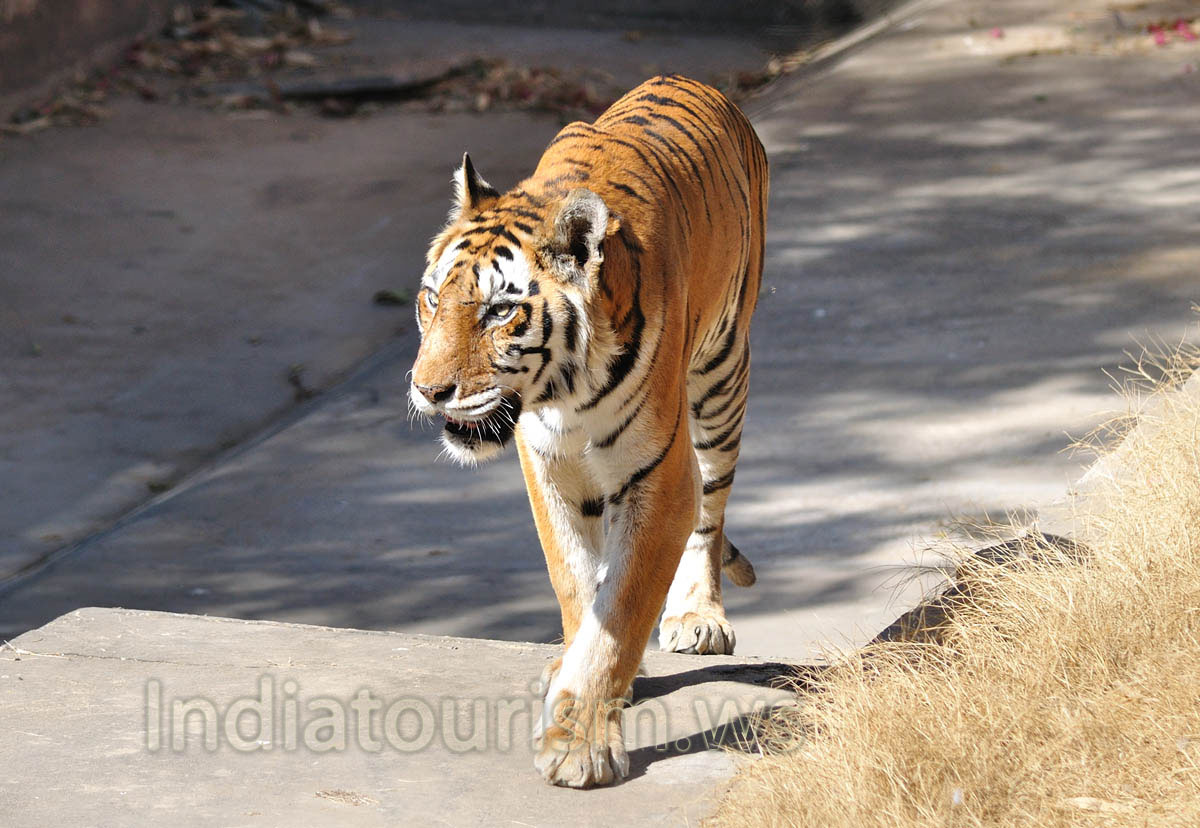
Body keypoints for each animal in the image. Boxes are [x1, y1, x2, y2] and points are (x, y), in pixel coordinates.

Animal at [408, 74, 767, 788]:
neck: (563, 393)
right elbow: (577, 581)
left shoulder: (659, 475)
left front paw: (578, 744)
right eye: (433, 299)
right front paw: (581, 679)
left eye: (499, 312)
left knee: (711, 510)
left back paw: (697, 614)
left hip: (721, 378)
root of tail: (694, 81)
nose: (428, 391)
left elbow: (620, 610)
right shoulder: (547, 465)